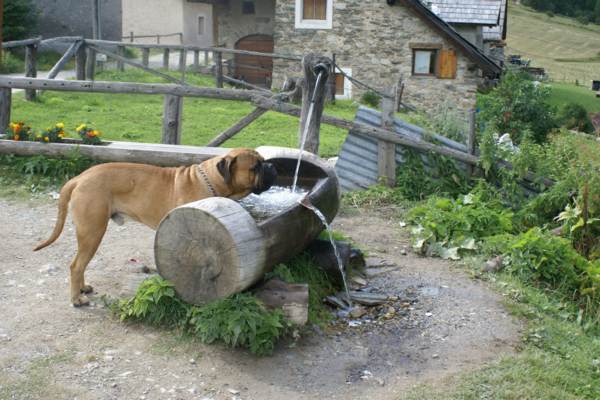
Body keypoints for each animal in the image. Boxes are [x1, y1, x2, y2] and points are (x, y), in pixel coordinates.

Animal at [32, 147, 276, 306]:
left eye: (263, 161)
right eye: (255, 166)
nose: (272, 165)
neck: (213, 181)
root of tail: (80, 178)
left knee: (80, 265)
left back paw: (83, 287)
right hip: (92, 231)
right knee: (76, 265)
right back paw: (76, 299)